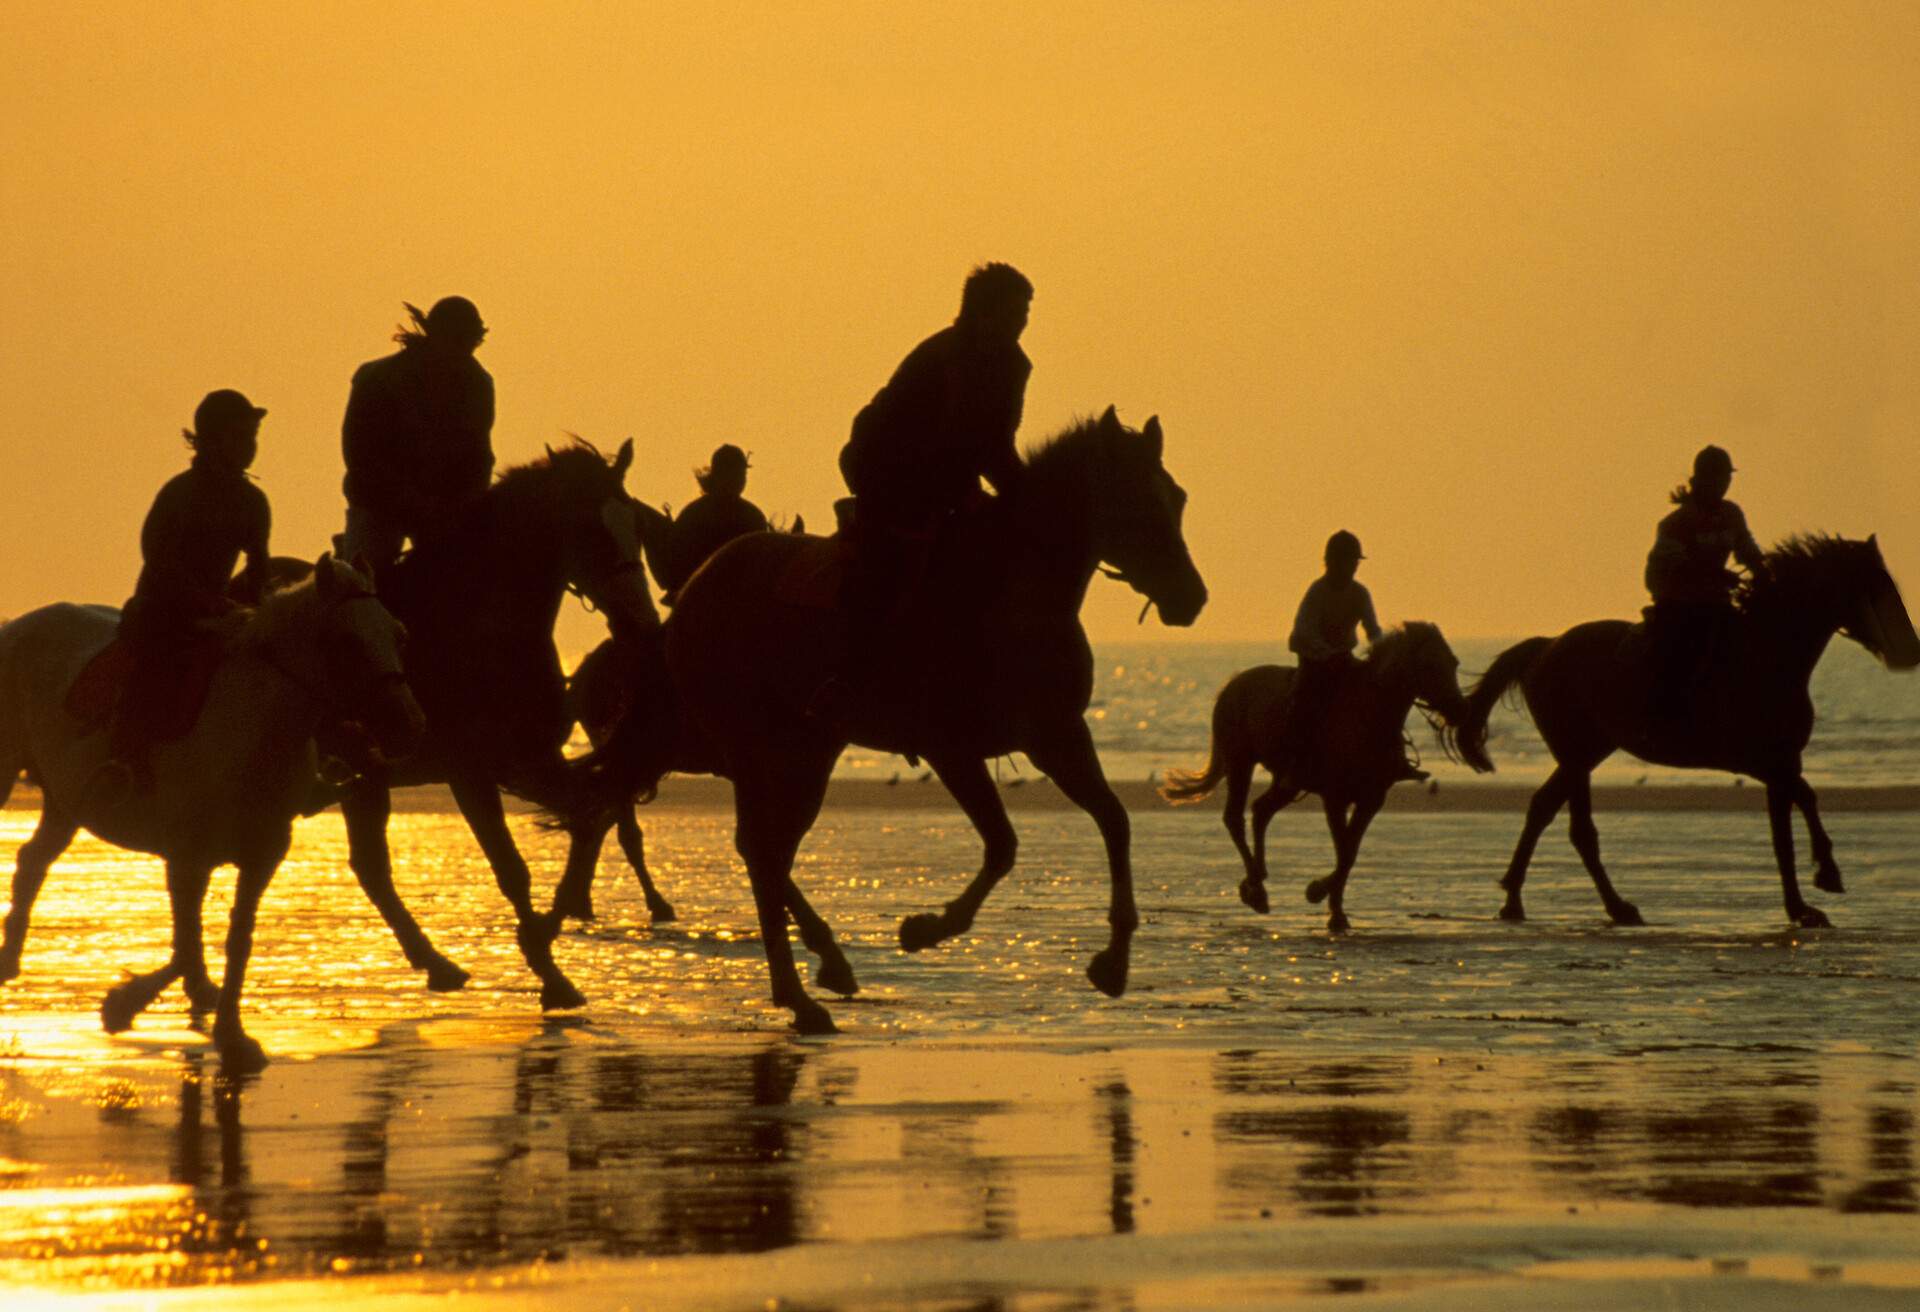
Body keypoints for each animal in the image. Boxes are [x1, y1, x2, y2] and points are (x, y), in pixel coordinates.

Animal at [0, 560, 424, 1075]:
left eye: (399, 635)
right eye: (346, 641)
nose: (408, 727)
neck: (252, 729)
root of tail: (16, 626)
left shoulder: (262, 855)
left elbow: (234, 939)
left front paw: (229, 1033)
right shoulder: (187, 858)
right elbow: (188, 939)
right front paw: (132, 1001)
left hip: (65, 802)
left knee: (32, 860)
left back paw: (9, 960)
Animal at [322, 436, 660, 1014]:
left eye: (636, 525)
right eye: (590, 529)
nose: (642, 623)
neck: (480, 627)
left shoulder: (531, 760)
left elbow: (591, 818)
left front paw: (550, 930)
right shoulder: (470, 772)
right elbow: (512, 867)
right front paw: (551, 972)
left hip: (364, 781)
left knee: (371, 867)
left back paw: (436, 964)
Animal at [591, 411, 1205, 1037]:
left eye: (1177, 497)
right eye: (1135, 501)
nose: (1191, 597)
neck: (1008, 593)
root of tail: (697, 588)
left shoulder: (1057, 735)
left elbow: (1114, 820)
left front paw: (1114, 962)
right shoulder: (950, 748)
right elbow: (1002, 845)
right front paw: (925, 929)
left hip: (809, 747)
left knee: (766, 849)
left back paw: (819, 975)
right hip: (760, 747)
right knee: (763, 852)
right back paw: (801, 994)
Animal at [1152, 622, 1482, 933]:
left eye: (1453, 662)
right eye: (1429, 665)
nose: (1460, 710)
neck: (1368, 715)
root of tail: (1233, 684)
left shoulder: (1372, 798)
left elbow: (1349, 852)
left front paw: (1333, 908)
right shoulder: (1334, 797)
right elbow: (1344, 851)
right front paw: (1321, 897)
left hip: (1287, 780)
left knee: (1261, 810)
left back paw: (1258, 881)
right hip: (1240, 762)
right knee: (1234, 816)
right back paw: (1255, 890)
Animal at [1451, 537, 1920, 929]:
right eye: (1876, 589)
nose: (1910, 651)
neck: (1768, 653)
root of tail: (1545, 646)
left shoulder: (1783, 760)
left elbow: (1782, 835)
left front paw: (1800, 908)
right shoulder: (1758, 760)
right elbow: (1806, 797)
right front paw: (1827, 873)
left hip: (1588, 751)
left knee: (1551, 812)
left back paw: (1544, 902)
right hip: (1577, 751)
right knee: (1568, 822)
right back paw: (1582, 904)